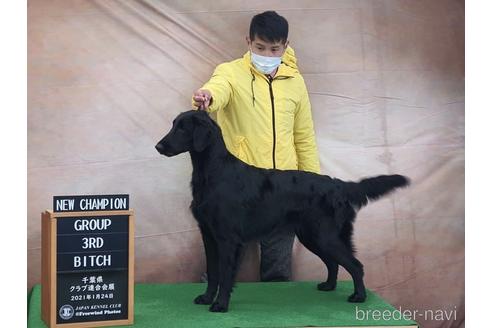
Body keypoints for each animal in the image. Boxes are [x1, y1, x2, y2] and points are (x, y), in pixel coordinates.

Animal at [156, 111, 410, 312]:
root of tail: (338, 184)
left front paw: (220, 305)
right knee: (333, 263)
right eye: (174, 124)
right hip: (312, 236)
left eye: (183, 128)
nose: (158, 146)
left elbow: (226, 274)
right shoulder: (208, 234)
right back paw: (328, 286)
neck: (213, 173)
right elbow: (213, 271)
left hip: (324, 235)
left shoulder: (228, 238)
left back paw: (359, 296)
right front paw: (207, 298)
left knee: (355, 265)